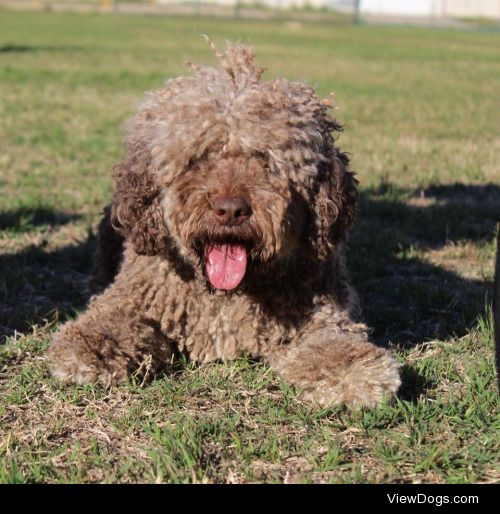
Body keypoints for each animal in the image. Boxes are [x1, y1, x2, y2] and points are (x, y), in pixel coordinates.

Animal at [46, 42, 398, 406]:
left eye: (267, 161)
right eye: (198, 158)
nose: (230, 210)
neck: (225, 294)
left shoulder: (321, 309)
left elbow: (334, 341)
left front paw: (354, 372)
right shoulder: (134, 296)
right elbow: (109, 320)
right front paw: (91, 349)